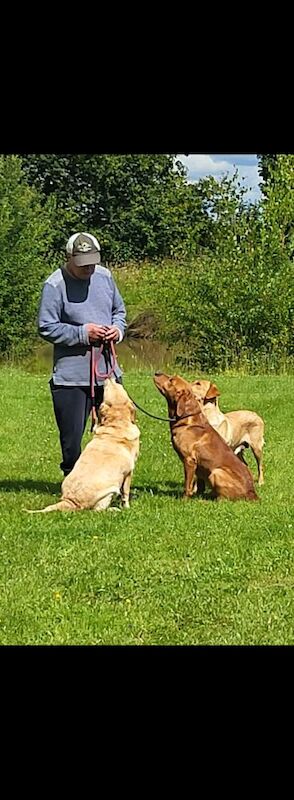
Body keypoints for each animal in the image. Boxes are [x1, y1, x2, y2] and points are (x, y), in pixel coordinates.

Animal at [26, 380, 140, 512]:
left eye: (117, 385)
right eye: (111, 387)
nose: (108, 378)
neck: (117, 423)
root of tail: (70, 501)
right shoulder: (129, 472)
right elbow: (125, 492)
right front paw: (126, 507)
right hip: (108, 492)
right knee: (98, 510)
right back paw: (113, 509)